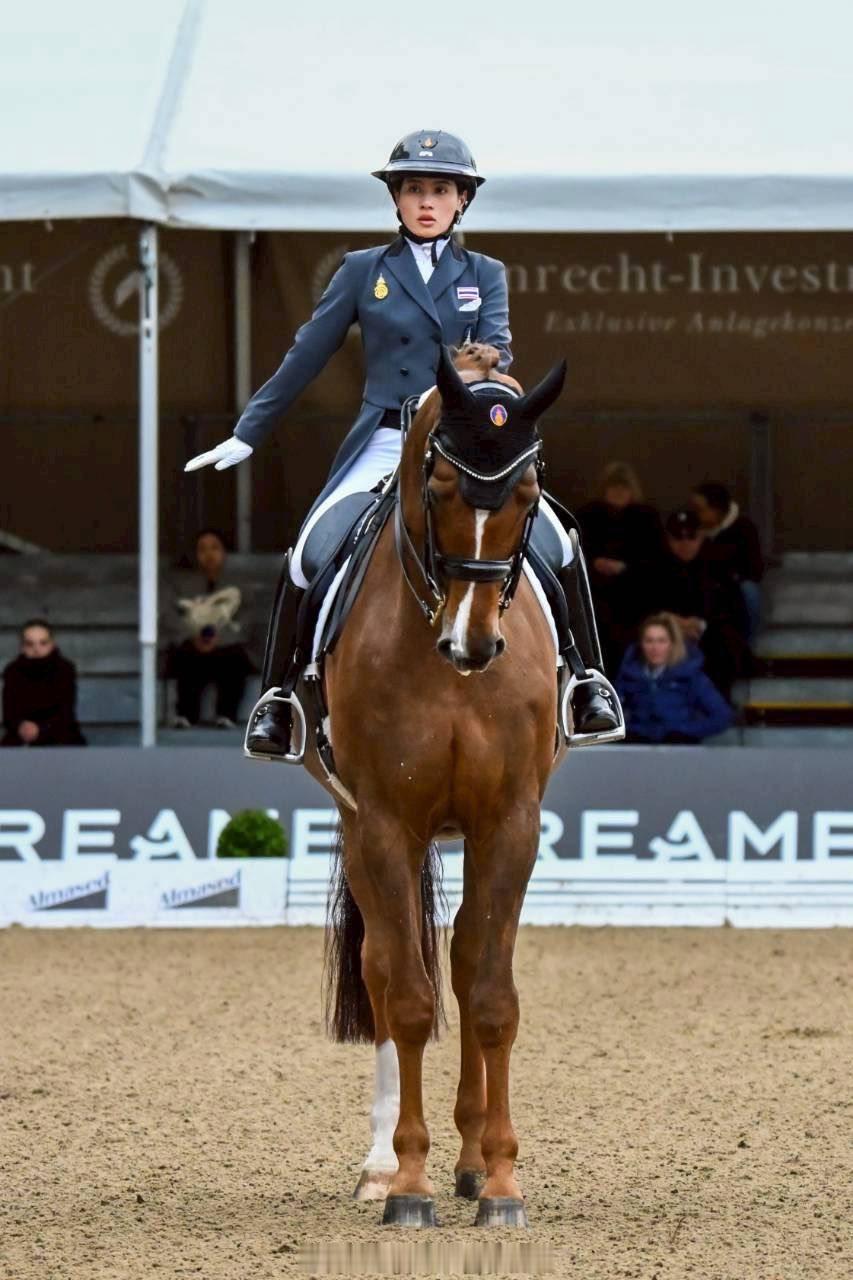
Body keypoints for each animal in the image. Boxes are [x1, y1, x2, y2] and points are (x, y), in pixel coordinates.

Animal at [304, 342, 568, 1227]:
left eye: (526, 495)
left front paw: (500, 1183)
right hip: (363, 833)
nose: (473, 643)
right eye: (443, 487)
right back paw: (383, 1165)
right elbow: (411, 1002)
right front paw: (409, 1187)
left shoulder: (510, 823)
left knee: (459, 958)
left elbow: (489, 996)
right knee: (387, 973)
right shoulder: (386, 822)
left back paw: (469, 1159)